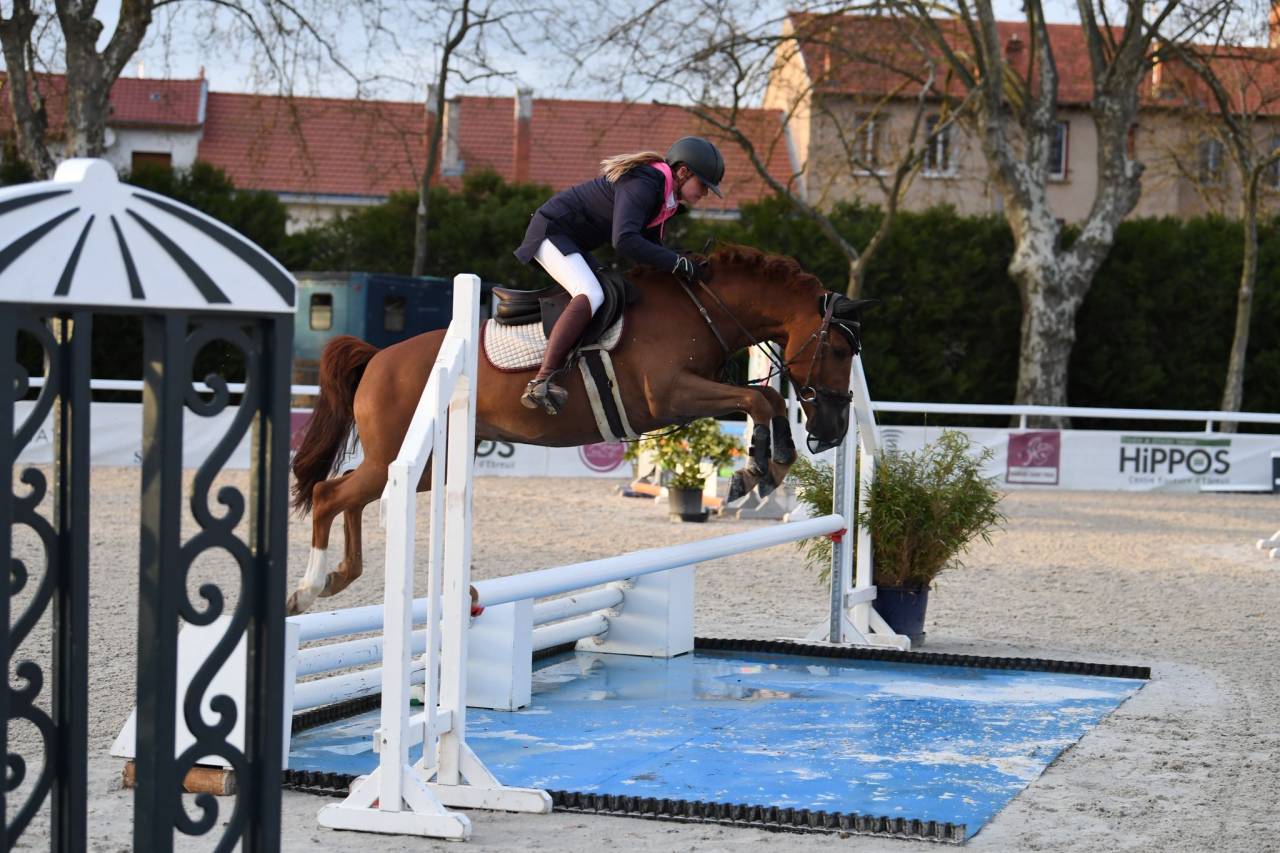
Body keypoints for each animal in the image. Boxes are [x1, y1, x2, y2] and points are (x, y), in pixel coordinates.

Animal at [286, 245, 867, 615]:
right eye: (839, 350)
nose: (834, 429)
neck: (699, 308)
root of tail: (378, 357)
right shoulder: (669, 396)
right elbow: (757, 397)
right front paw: (757, 471)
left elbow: (766, 398)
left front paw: (769, 466)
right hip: (405, 457)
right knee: (328, 494)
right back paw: (308, 589)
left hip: (427, 466)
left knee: (351, 495)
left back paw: (340, 576)